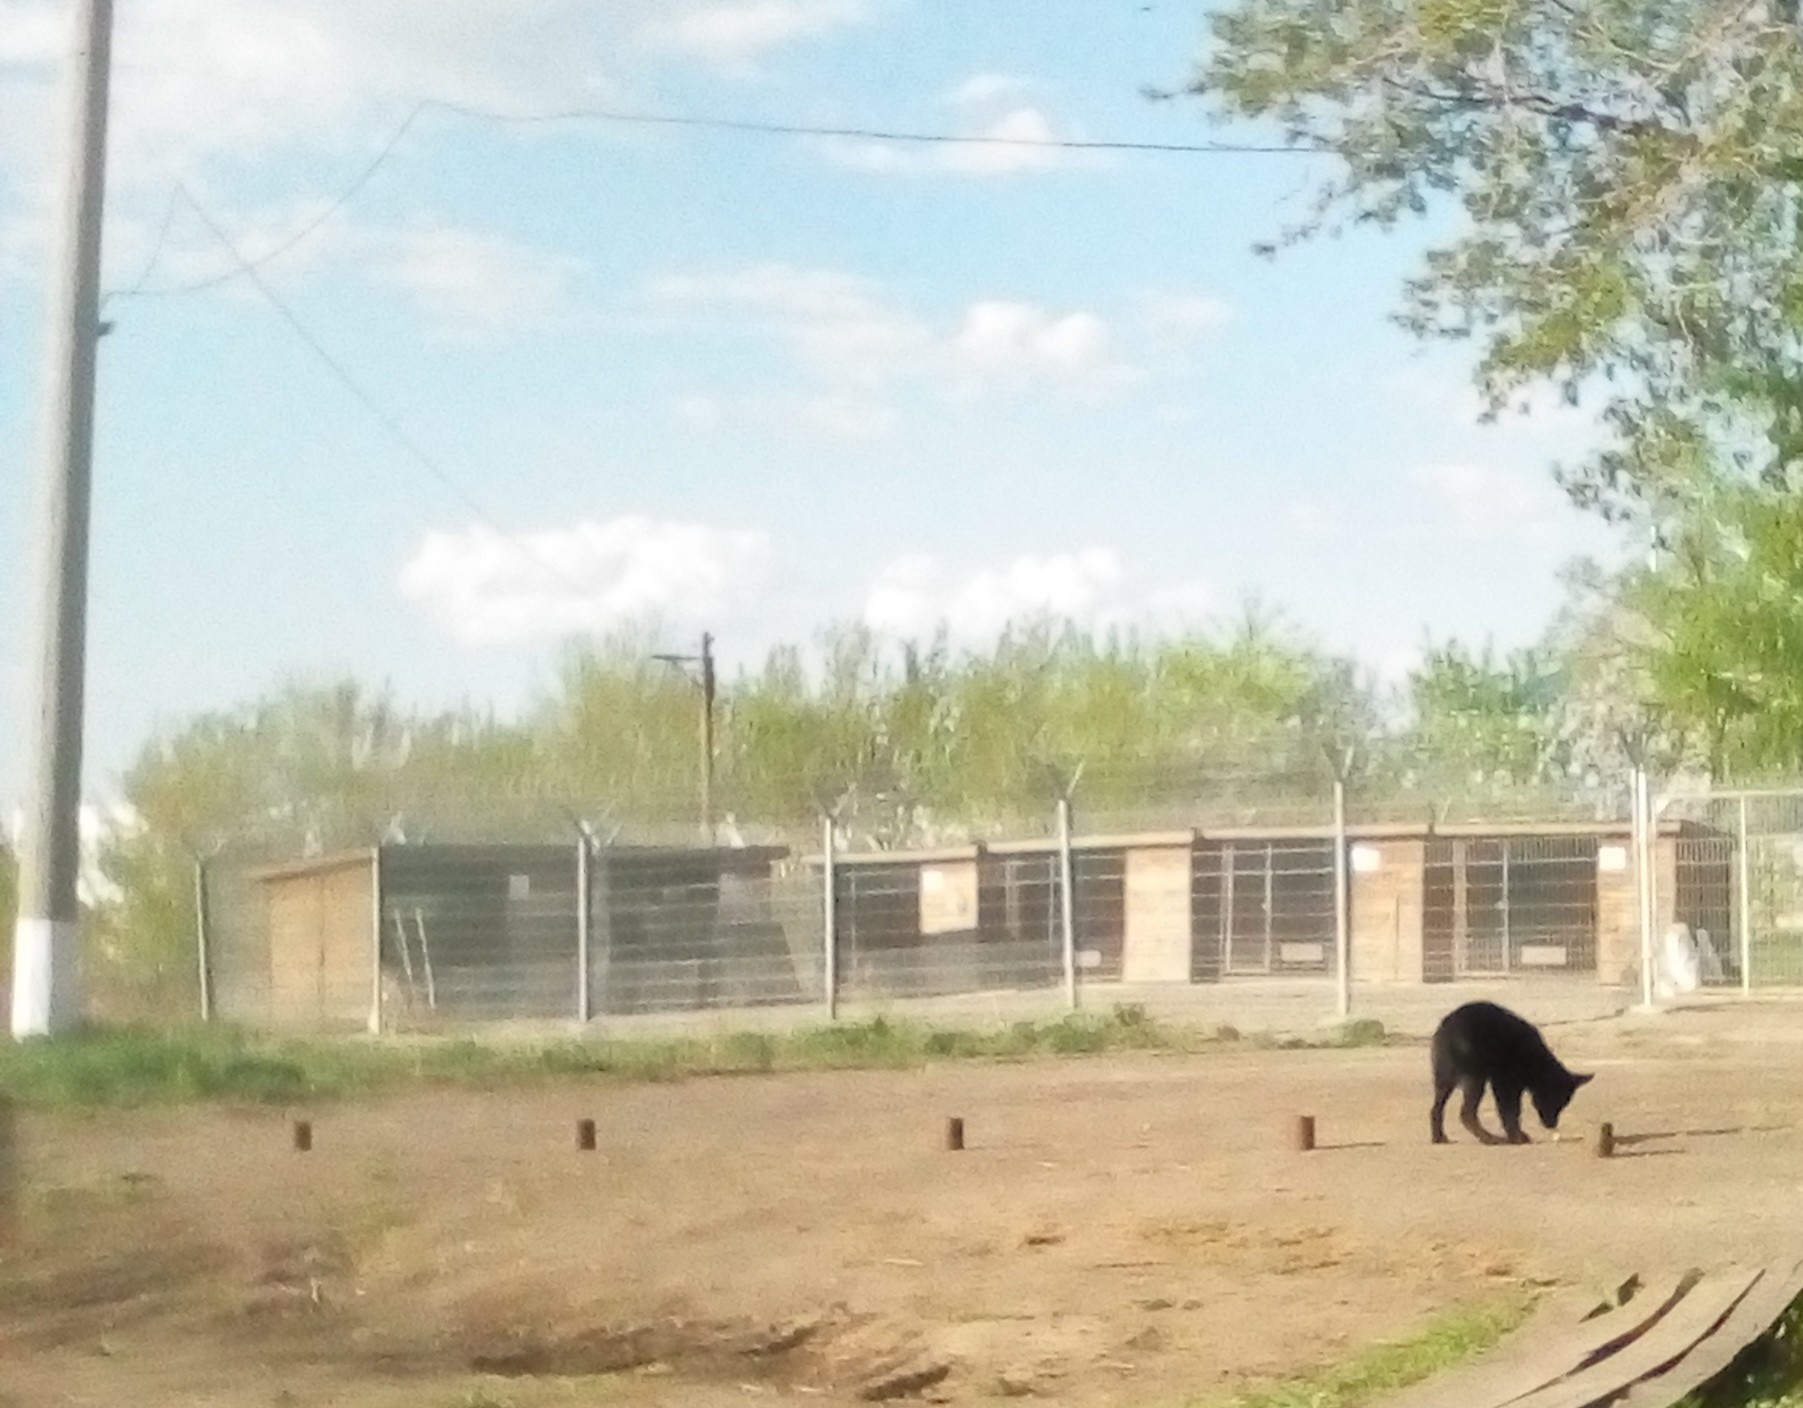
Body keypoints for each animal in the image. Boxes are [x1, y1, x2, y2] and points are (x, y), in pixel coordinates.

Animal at [1427, 1002, 1586, 1139]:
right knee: (1467, 1114)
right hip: (1475, 1077)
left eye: (1564, 1104)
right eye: (1554, 1100)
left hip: (1444, 1079)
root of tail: (1447, 1029)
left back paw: (1439, 1137)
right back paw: (1489, 1139)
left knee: (1436, 1109)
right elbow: (1510, 1110)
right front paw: (1516, 1136)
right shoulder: (1506, 1083)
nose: (1552, 1125)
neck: (1537, 1062)